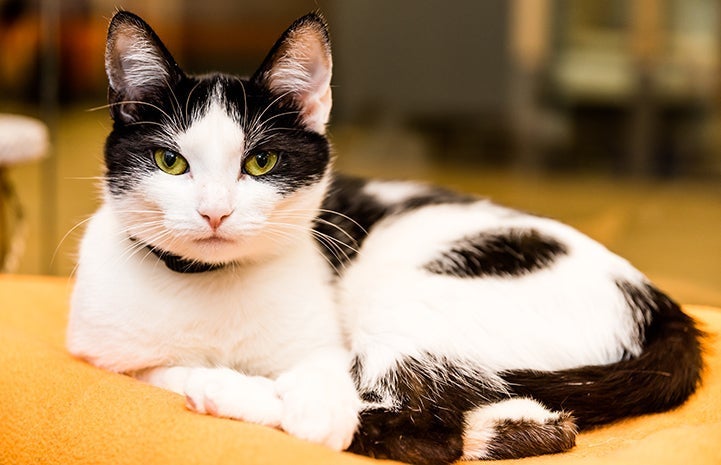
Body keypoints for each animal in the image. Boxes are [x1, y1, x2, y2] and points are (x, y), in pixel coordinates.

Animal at [64, 10, 700, 464]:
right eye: (170, 162)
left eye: (261, 162)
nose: (214, 213)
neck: (209, 285)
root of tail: (662, 306)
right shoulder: (96, 352)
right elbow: (151, 370)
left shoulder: (322, 347)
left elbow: (325, 388)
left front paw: (302, 403)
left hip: (409, 296)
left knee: (426, 427)